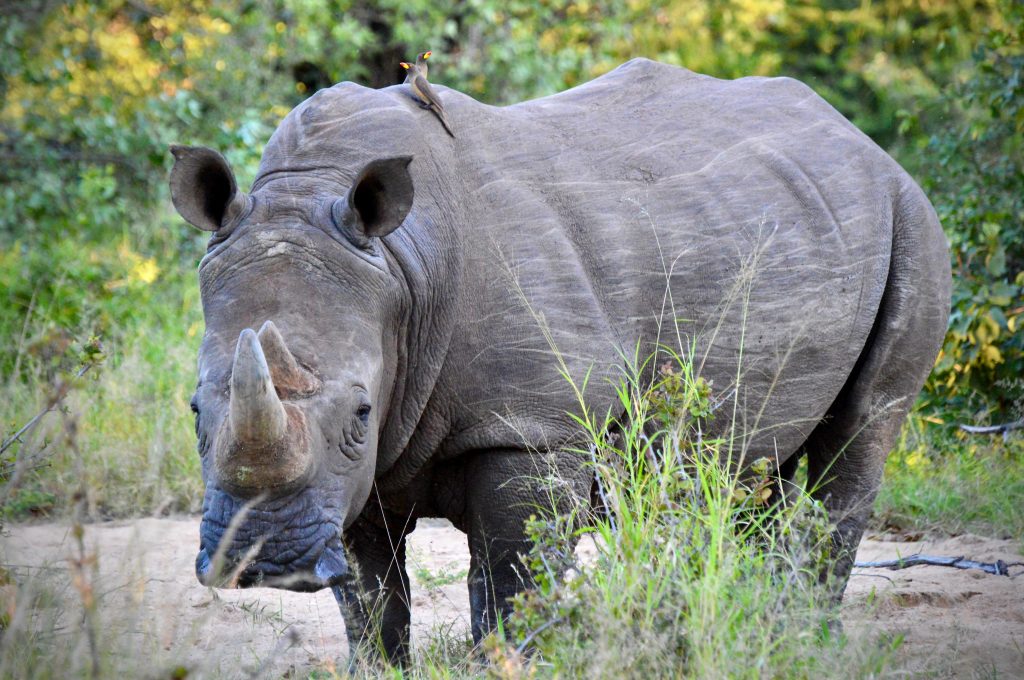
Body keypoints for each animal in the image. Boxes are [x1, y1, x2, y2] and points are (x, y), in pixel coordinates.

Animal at [170, 58, 950, 661]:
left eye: (360, 411)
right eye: (195, 410)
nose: (268, 563)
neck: (398, 262)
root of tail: (863, 141)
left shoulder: (529, 429)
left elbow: (515, 580)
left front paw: (514, 664)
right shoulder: (356, 472)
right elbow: (371, 600)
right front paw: (379, 666)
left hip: (913, 218)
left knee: (858, 438)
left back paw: (804, 643)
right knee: (748, 475)